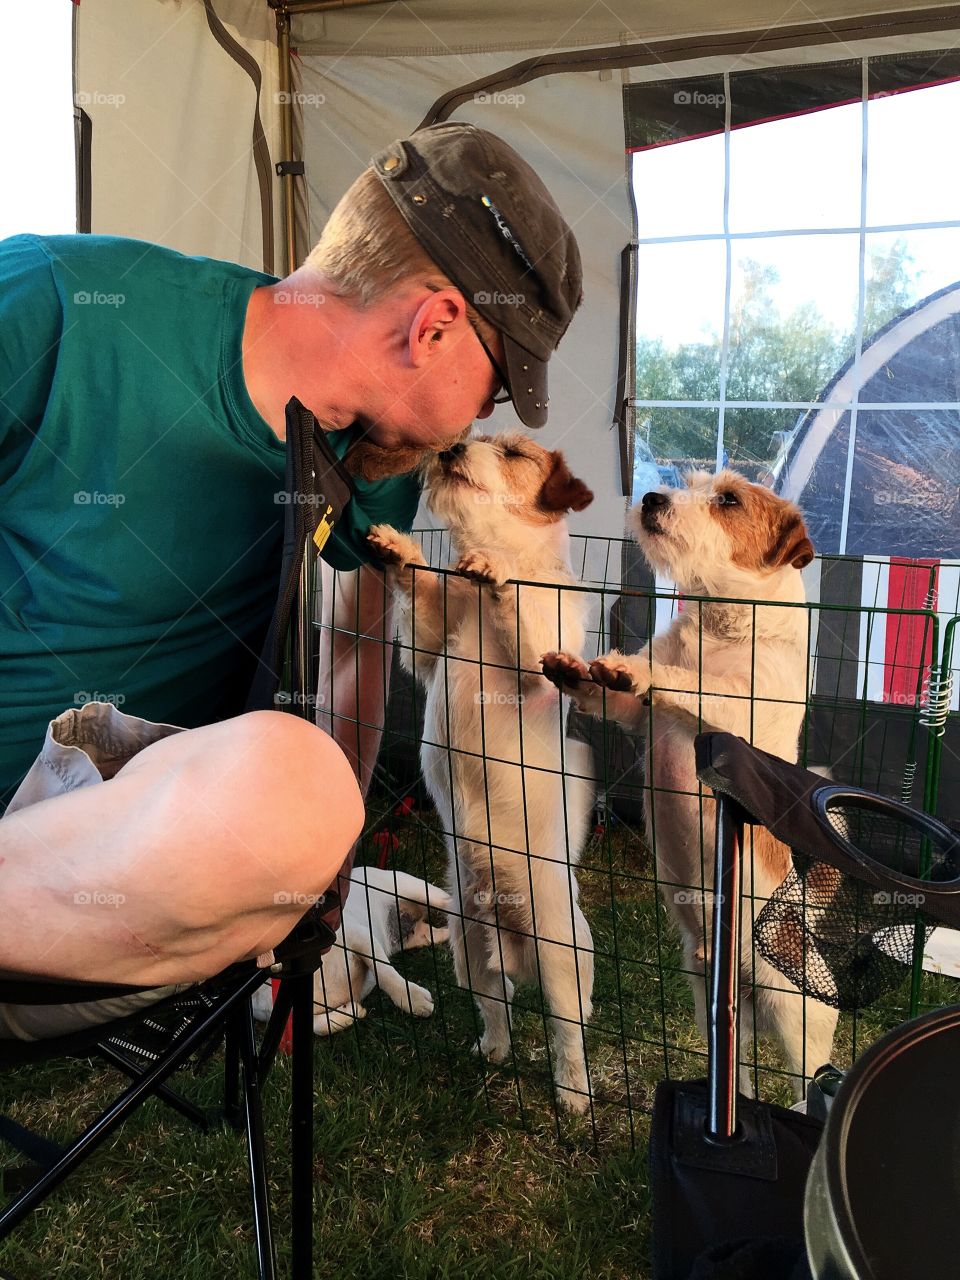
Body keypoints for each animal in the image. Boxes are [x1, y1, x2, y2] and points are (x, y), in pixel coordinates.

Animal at [253, 865, 453, 1034]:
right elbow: (319, 1026)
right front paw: (351, 1011)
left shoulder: (360, 936)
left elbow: (384, 972)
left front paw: (413, 999)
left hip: (416, 890)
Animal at [366, 432, 599, 1111]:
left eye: (515, 451)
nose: (449, 448)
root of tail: (507, 937)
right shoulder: (425, 653)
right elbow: (417, 616)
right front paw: (401, 552)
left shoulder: (541, 662)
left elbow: (519, 622)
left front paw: (496, 575)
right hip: (468, 953)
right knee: (499, 1006)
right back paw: (491, 1050)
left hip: (560, 960)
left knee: (567, 1030)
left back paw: (573, 1093)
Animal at [545, 473, 839, 1100]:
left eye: (729, 499)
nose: (651, 498)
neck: (722, 624)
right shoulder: (635, 719)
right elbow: (611, 695)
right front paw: (578, 670)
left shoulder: (736, 717)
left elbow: (690, 683)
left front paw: (639, 670)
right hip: (715, 1003)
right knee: (741, 1074)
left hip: (796, 1019)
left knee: (807, 1082)